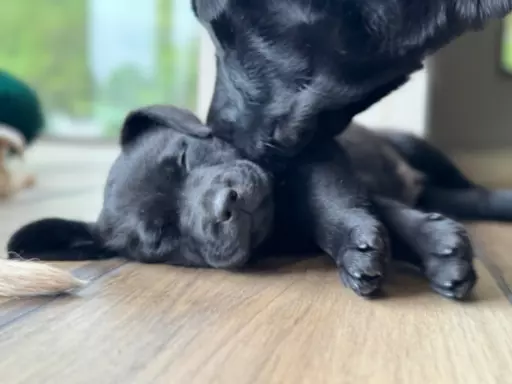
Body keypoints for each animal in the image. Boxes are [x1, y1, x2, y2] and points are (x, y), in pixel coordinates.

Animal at [7, 106, 512, 300]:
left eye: (185, 156)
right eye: (162, 236)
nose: (224, 205)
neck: (278, 227)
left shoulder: (316, 157)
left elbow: (333, 204)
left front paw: (363, 243)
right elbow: (381, 212)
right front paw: (434, 252)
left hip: (418, 148)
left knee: (466, 187)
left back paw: (498, 201)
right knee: (448, 194)